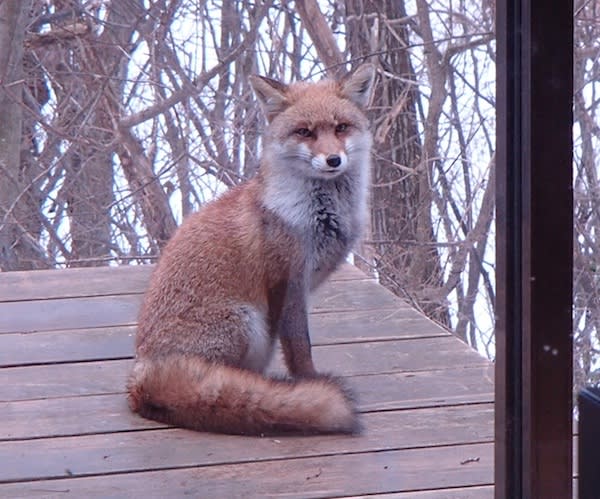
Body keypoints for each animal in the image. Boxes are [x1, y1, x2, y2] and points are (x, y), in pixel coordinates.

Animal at [127, 63, 376, 438]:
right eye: (305, 132)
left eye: (341, 127)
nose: (333, 159)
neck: (318, 216)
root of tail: (141, 379)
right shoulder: (287, 282)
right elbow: (299, 348)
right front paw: (311, 383)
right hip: (248, 322)